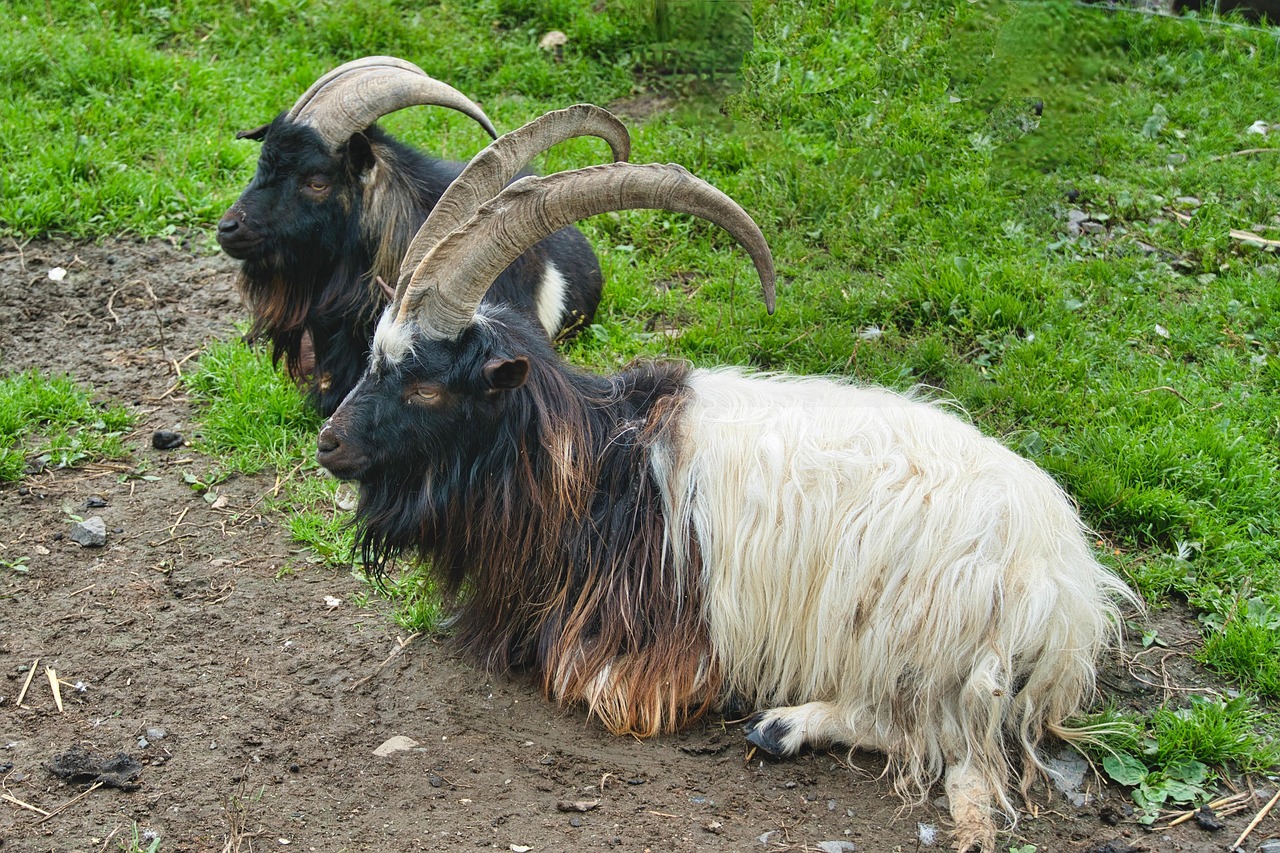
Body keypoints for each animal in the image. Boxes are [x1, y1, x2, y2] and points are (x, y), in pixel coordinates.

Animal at [315, 111, 1137, 852]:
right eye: (375, 356)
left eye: (426, 386)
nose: (329, 443)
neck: (601, 467)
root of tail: (1064, 591)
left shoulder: (641, 660)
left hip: (919, 635)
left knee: (929, 729)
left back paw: (784, 725)